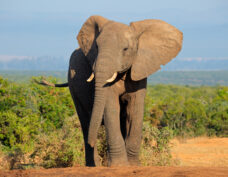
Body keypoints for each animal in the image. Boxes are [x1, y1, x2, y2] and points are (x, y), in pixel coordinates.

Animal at [40, 14, 183, 166]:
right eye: (96, 47)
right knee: (85, 122)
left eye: (125, 49)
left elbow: (135, 109)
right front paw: (119, 165)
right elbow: (111, 108)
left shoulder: (139, 69)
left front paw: (133, 165)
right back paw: (93, 165)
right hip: (73, 85)